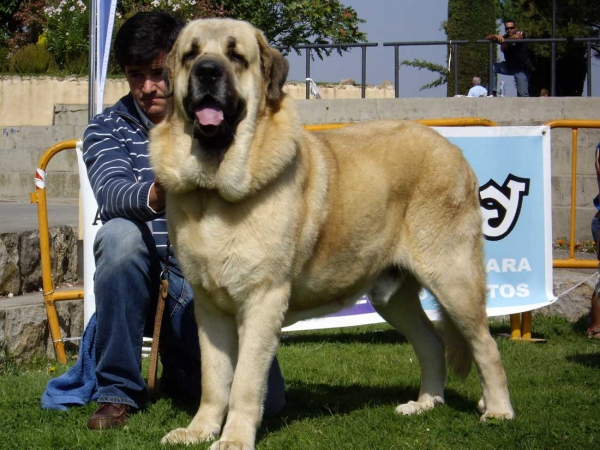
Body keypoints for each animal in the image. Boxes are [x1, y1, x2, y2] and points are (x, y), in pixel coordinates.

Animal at [149, 17, 510, 450]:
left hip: (454, 280)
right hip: (393, 297)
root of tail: (454, 151)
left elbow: (244, 383)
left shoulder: (262, 301)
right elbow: (215, 380)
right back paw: (425, 403)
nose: (207, 71)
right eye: (191, 54)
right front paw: (199, 430)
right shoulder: (209, 308)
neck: (213, 190)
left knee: (485, 345)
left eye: (236, 56)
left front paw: (234, 438)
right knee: (431, 342)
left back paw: (498, 411)